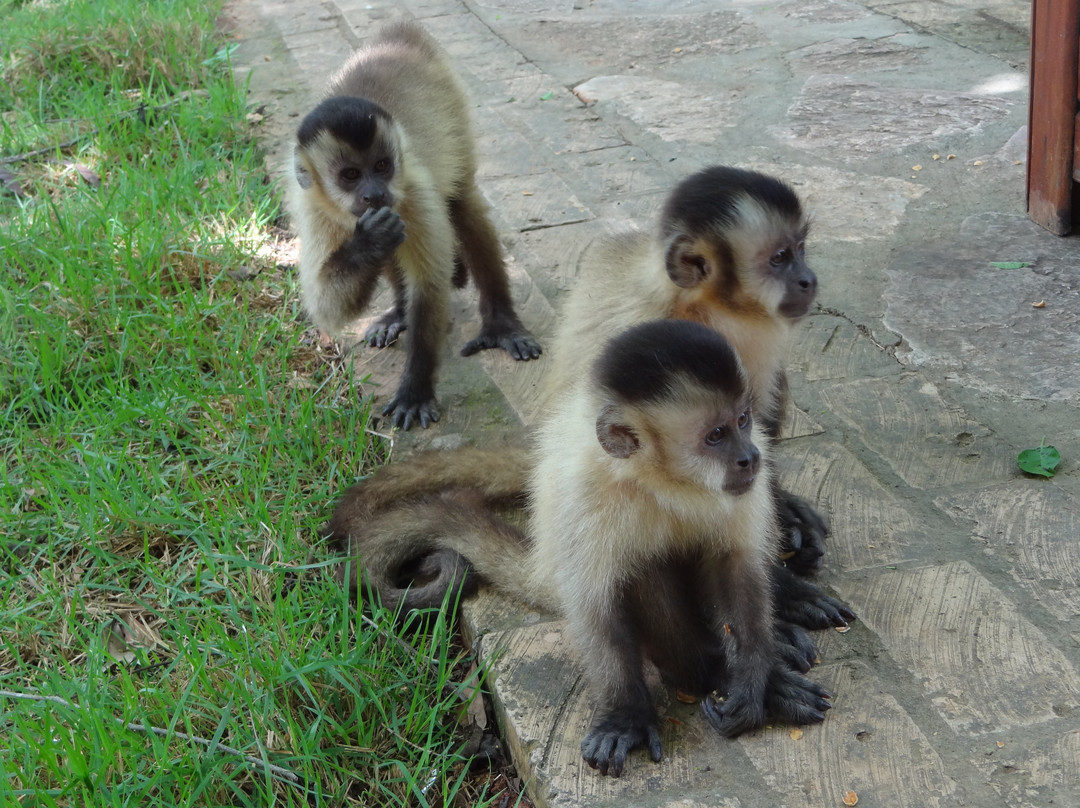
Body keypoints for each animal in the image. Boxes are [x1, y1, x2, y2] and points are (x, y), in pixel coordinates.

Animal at [287, 20, 540, 429]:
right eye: (350, 175)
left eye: (381, 167)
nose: (374, 194)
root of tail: (399, 34)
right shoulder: (311, 206)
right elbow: (326, 307)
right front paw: (369, 243)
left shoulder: (414, 190)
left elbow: (430, 286)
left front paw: (415, 392)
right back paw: (397, 310)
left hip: (452, 103)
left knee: (460, 203)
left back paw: (501, 324)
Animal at [328, 319, 833, 777]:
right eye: (715, 436)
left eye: (743, 422)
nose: (749, 457)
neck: (664, 483)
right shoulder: (587, 494)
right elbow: (596, 605)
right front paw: (627, 716)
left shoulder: (742, 486)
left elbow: (737, 567)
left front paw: (752, 681)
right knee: (640, 567)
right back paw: (706, 668)